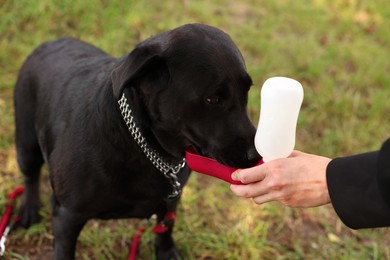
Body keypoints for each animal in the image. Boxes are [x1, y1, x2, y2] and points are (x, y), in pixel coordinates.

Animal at [13, 23, 260, 258]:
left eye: (246, 91)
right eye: (212, 99)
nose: (255, 154)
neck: (139, 145)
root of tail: (48, 43)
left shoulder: (171, 200)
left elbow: (166, 228)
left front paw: (166, 253)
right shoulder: (67, 215)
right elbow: (64, 251)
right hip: (26, 142)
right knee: (30, 175)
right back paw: (30, 208)